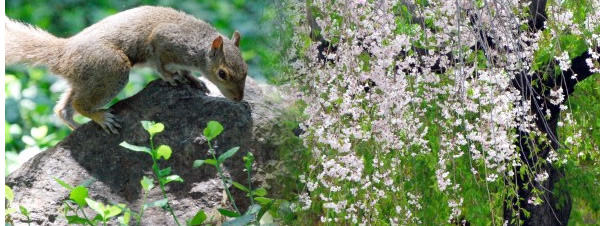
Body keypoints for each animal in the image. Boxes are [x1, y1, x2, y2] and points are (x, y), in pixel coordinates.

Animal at [5, 5, 248, 134]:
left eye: (246, 70)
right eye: (222, 73)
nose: (238, 99)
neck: (198, 46)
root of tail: (64, 53)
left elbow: (186, 72)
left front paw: (194, 79)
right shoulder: (163, 41)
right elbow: (161, 64)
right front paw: (171, 77)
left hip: (88, 78)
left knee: (63, 108)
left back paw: (74, 125)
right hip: (112, 69)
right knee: (79, 104)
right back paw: (102, 118)